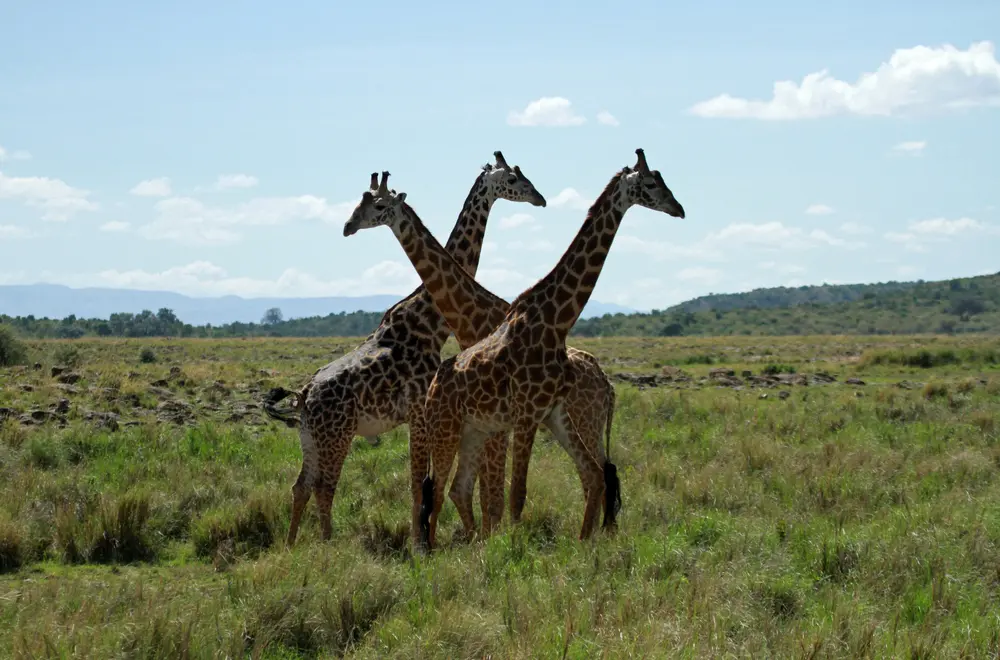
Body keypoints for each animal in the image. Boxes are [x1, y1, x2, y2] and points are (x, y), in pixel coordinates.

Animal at [263, 152, 546, 546]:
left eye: (375, 203)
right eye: (514, 179)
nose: (540, 198)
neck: (429, 321)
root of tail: (302, 396)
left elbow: (425, 483)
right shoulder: (419, 412)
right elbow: (419, 484)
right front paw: (420, 544)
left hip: (308, 437)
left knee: (300, 486)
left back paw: (292, 546)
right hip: (336, 435)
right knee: (324, 487)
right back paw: (328, 544)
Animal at [342, 171, 619, 541]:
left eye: (378, 204)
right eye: (362, 200)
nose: (348, 226)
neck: (470, 315)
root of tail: (607, 384)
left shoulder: (495, 418)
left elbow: (490, 490)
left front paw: (492, 537)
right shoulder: (486, 417)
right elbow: (481, 488)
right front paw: (487, 537)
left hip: (583, 421)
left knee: (597, 474)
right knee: (600, 473)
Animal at [419, 149, 685, 550]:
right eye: (652, 184)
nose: (679, 209)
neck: (557, 322)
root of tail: (433, 387)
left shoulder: (553, 411)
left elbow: (590, 475)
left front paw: (583, 543)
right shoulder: (526, 414)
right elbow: (517, 493)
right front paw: (512, 551)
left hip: (474, 430)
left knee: (456, 488)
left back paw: (466, 545)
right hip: (445, 427)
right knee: (435, 492)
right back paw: (432, 552)